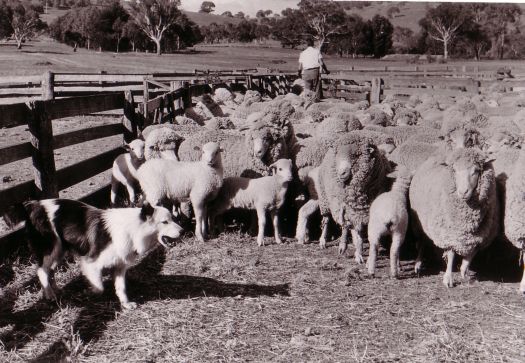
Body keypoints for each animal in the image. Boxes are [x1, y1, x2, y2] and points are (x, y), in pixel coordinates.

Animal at [408, 148, 498, 288]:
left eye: (476, 170)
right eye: (454, 170)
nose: (463, 192)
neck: (467, 221)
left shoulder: (480, 237)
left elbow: (470, 255)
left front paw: (464, 272)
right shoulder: (449, 233)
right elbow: (451, 254)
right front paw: (448, 278)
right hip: (417, 222)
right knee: (421, 242)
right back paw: (418, 263)